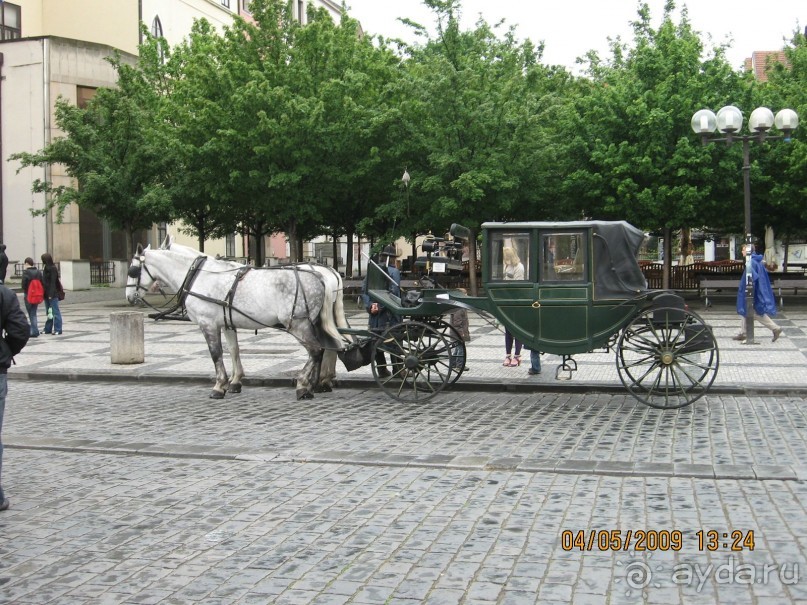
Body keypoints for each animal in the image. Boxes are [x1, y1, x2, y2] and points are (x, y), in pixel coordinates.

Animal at [126, 237, 350, 402]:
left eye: (133, 271)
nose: (129, 297)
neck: (198, 275)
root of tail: (323, 276)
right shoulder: (227, 323)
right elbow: (234, 350)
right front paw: (235, 382)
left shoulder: (208, 324)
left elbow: (216, 354)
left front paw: (219, 386)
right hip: (314, 322)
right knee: (327, 348)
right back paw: (317, 383)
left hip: (298, 324)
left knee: (316, 350)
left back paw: (304, 385)